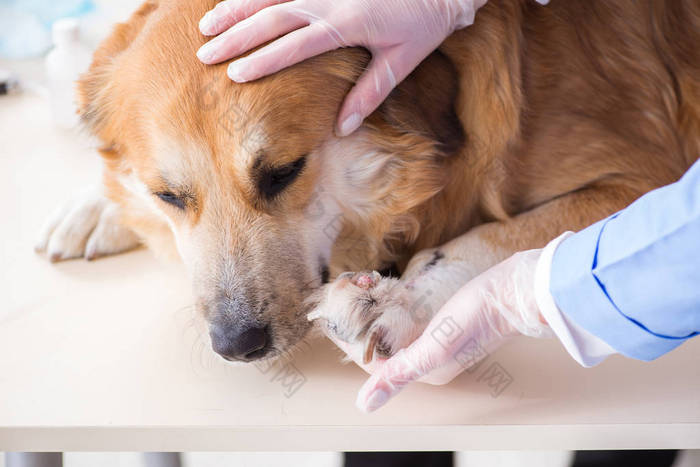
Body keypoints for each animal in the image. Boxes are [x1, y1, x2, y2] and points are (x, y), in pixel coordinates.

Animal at [35, 0, 700, 366]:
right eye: (169, 196)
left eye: (284, 172)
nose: (237, 344)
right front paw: (99, 205)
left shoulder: (643, 173)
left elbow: (489, 238)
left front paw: (401, 300)